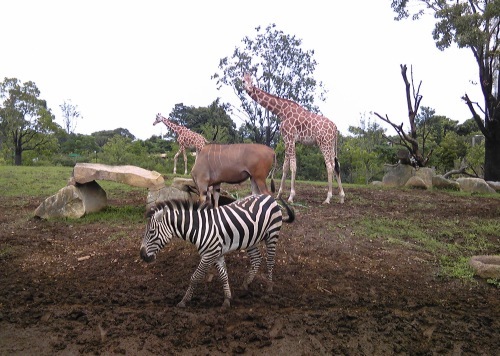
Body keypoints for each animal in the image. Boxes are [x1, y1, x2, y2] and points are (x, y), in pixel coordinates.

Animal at [139, 193, 294, 308]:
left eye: (151, 232)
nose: (142, 255)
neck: (200, 227)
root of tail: (268, 196)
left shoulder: (209, 254)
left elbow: (195, 277)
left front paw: (184, 301)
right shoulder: (216, 253)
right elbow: (223, 276)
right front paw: (227, 299)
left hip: (272, 233)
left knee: (270, 261)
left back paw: (269, 288)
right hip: (251, 239)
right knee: (256, 258)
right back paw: (246, 284)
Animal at [243, 73, 346, 204]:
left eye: (252, 81)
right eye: (243, 81)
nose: (249, 88)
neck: (281, 111)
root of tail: (335, 128)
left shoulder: (290, 138)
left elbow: (292, 166)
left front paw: (291, 196)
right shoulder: (287, 139)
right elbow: (285, 167)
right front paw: (279, 195)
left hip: (324, 143)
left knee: (329, 166)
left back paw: (328, 198)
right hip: (331, 144)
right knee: (337, 165)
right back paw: (342, 197)